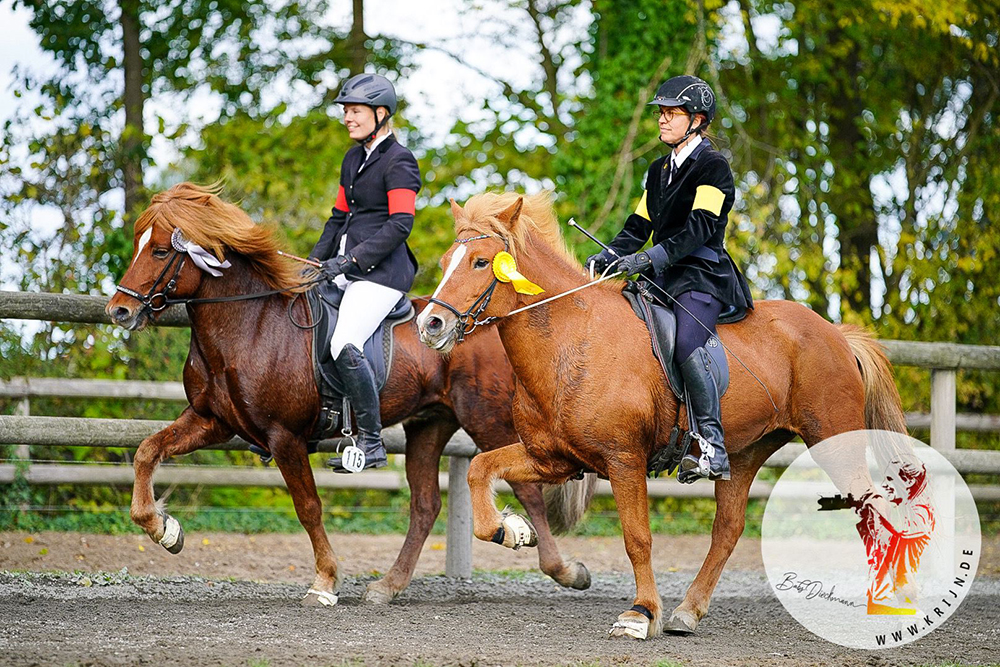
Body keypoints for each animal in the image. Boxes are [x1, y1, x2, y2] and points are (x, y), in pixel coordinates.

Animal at [105, 181, 596, 604]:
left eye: (161, 250)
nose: (119, 311)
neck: (249, 324)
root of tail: (487, 321)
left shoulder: (284, 437)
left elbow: (308, 507)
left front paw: (324, 582)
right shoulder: (213, 421)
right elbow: (147, 451)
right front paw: (163, 528)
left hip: (485, 419)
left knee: (525, 487)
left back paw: (558, 565)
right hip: (430, 425)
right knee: (425, 505)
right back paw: (389, 586)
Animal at [414, 190, 908, 640]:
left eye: (481, 262)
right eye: (446, 260)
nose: (430, 325)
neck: (572, 339)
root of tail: (836, 334)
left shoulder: (624, 460)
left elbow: (638, 538)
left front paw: (640, 614)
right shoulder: (552, 459)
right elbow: (479, 471)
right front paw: (512, 530)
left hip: (833, 442)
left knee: (877, 510)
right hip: (745, 452)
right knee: (728, 529)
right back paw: (688, 612)